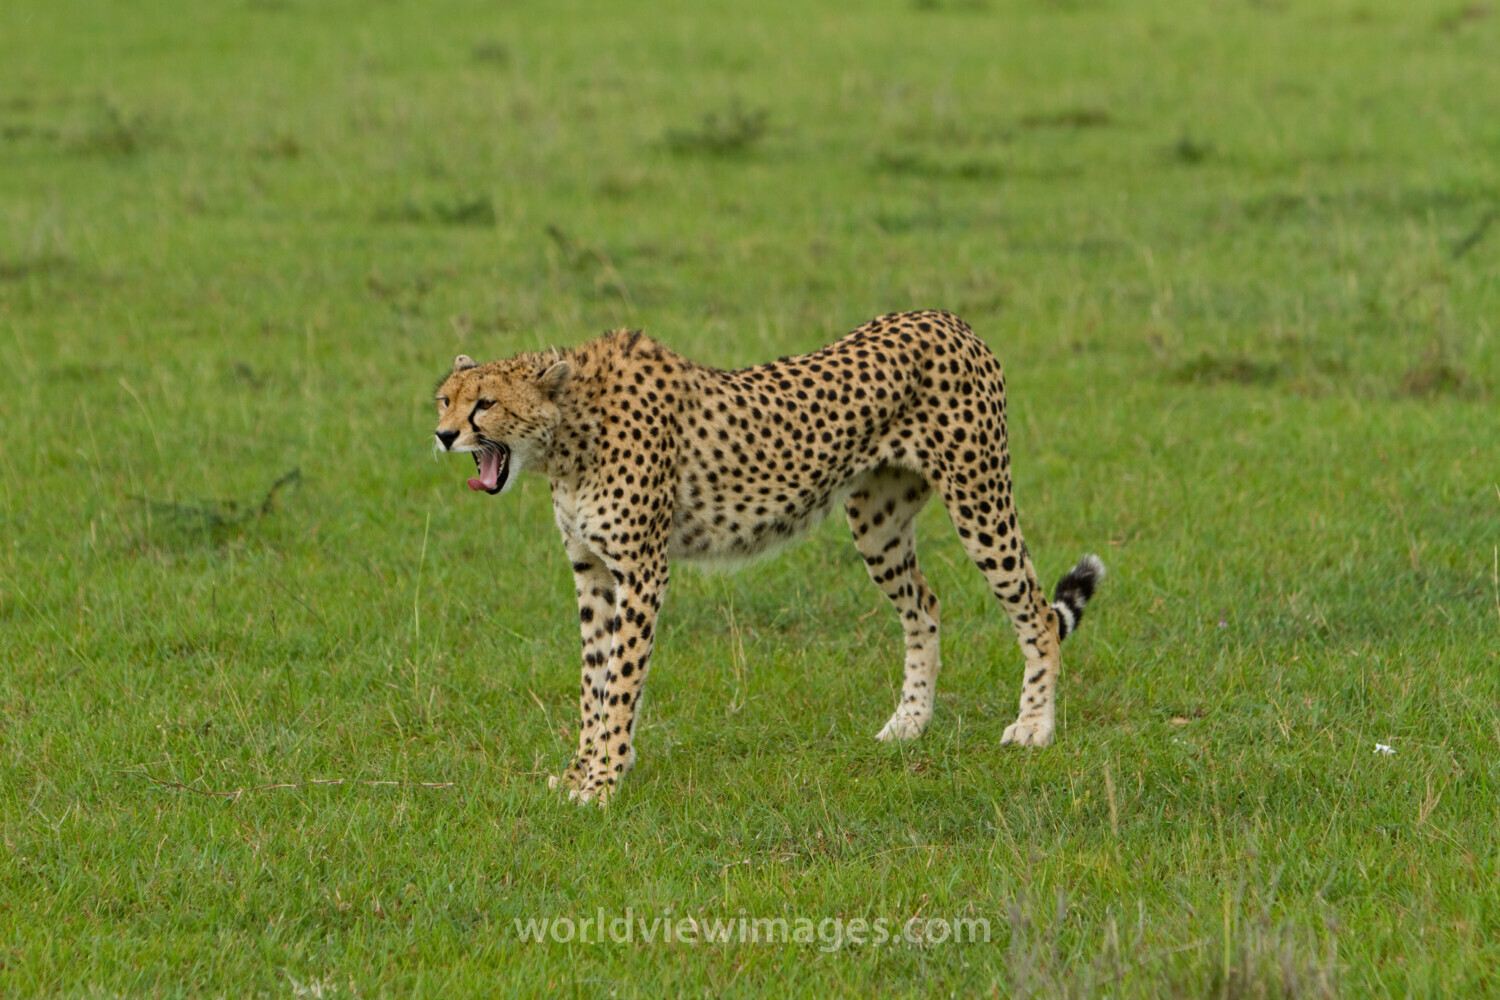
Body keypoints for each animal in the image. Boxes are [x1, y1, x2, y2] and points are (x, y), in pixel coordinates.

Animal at [433, 310, 1104, 805]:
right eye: (444, 400)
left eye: (485, 404)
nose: (443, 435)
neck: (569, 435)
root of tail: (947, 318)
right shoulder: (592, 573)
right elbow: (591, 682)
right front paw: (578, 773)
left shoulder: (642, 572)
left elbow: (620, 684)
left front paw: (603, 782)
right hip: (877, 523)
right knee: (926, 606)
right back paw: (908, 724)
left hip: (978, 497)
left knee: (1036, 612)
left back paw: (1034, 727)